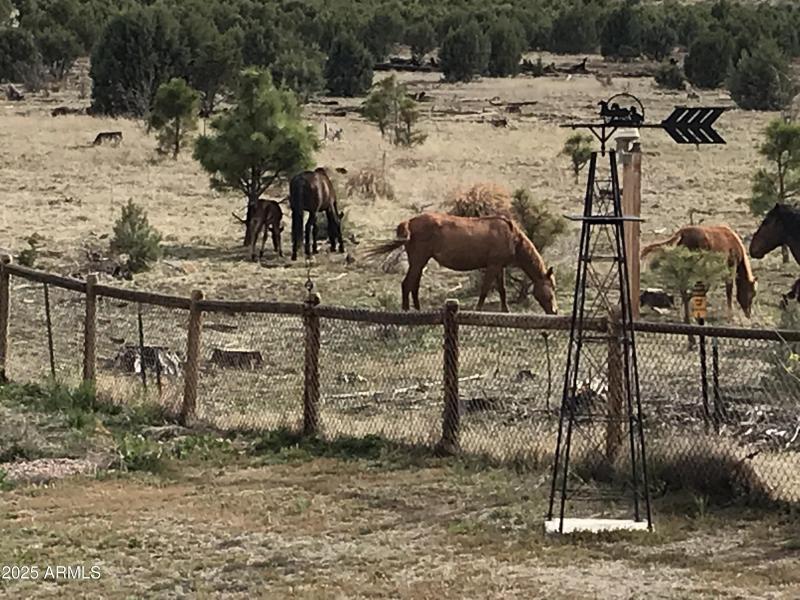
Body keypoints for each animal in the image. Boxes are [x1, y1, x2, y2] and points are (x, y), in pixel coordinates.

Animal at [366, 213, 558, 314]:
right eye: (552, 288)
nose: (554, 311)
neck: (512, 237)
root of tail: (409, 222)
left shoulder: (499, 267)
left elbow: (502, 290)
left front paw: (506, 311)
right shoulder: (493, 266)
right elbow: (485, 289)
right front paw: (478, 309)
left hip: (419, 262)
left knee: (414, 285)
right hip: (419, 260)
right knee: (407, 284)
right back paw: (406, 311)